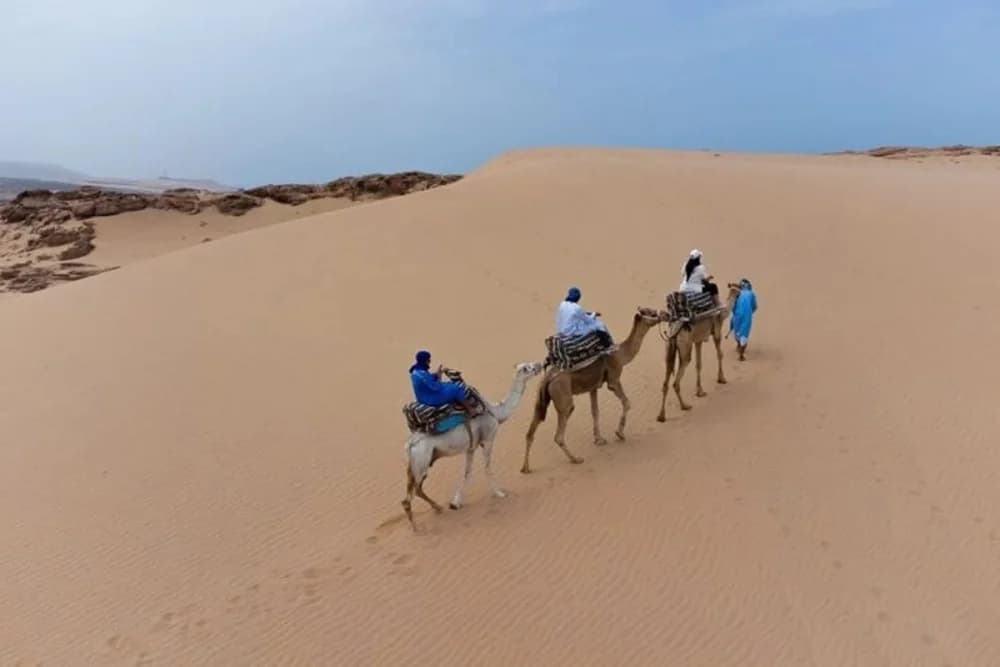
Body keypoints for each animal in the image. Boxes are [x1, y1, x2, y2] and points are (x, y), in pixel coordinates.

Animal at [402, 361, 544, 531]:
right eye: (526, 368)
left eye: (529, 364)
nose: (539, 364)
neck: (496, 412)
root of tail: (410, 444)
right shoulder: (488, 439)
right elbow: (487, 468)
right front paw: (499, 493)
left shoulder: (471, 447)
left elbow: (467, 473)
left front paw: (455, 503)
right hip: (421, 460)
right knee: (412, 494)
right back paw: (417, 527)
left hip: (420, 462)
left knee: (415, 490)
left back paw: (437, 508)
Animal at [521, 307, 665, 474]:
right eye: (651, 312)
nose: (665, 314)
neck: (621, 354)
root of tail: (548, 378)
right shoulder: (614, 379)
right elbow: (627, 402)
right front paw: (620, 433)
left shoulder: (593, 387)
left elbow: (595, 411)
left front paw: (599, 439)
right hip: (563, 397)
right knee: (559, 433)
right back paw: (576, 459)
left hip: (540, 398)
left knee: (531, 431)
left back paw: (525, 468)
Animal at [656, 283, 741, 420]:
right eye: (740, 288)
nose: (740, 294)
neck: (722, 311)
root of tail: (674, 330)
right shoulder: (717, 331)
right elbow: (720, 354)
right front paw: (721, 379)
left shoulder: (698, 340)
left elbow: (698, 364)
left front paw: (700, 391)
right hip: (685, 346)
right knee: (678, 377)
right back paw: (685, 406)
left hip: (669, 347)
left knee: (666, 378)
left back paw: (661, 416)